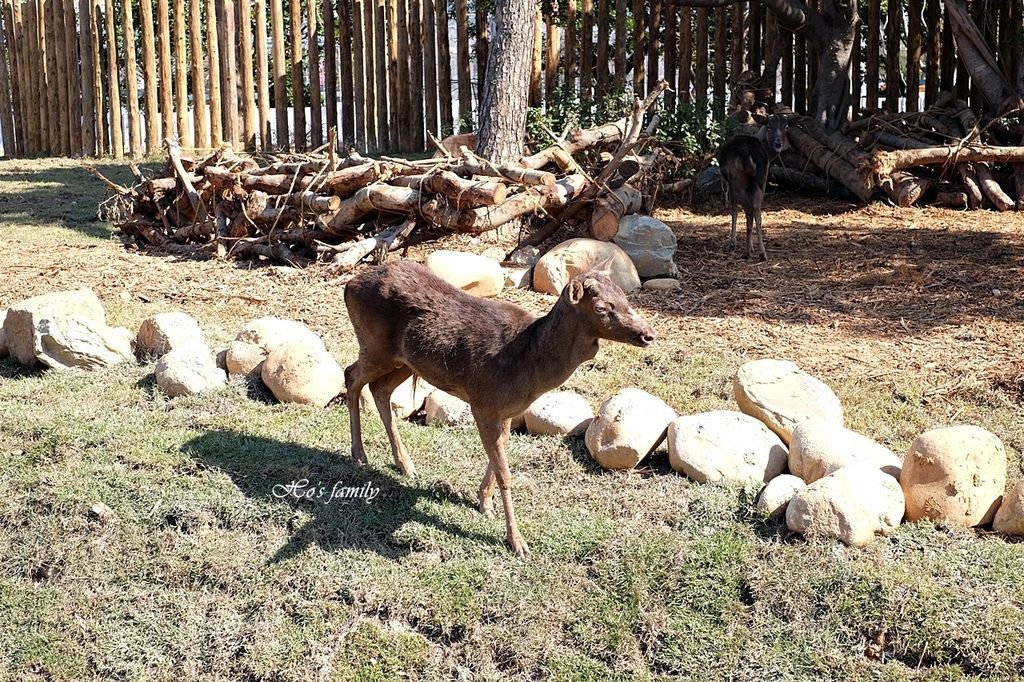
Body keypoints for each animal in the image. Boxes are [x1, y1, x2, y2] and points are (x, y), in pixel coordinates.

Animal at [346, 258, 655, 557]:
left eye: (624, 297)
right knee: (352, 376)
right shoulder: (483, 403)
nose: (648, 334)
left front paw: (484, 502)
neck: (529, 367)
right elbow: (506, 472)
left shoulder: (505, 410)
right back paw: (360, 455)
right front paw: (516, 542)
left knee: (380, 389)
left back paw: (405, 464)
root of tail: (350, 284)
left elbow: (499, 456)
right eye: (602, 307)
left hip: (404, 361)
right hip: (374, 346)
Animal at [716, 112, 786, 259]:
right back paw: (760, 252)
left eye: (786, 127)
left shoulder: (731, 184)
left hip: (739, 180)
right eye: (769, 126)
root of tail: (748, 156)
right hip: (759, 179)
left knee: (749, 210)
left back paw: (749, 252)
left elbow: (734, 210)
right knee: (756, 209)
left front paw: (733, 244)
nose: (779, 144)